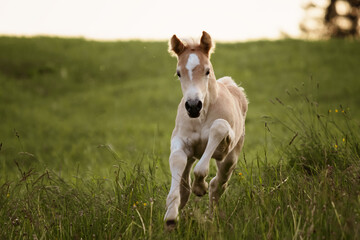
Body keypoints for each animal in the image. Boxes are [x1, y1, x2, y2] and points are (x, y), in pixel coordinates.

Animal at [165, 31, 248, 227]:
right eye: (178, 73)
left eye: (207, 71)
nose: (193, 105)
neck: (201, 117)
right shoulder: (180, 140)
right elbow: (177, 159)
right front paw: (170, 214)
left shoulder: (222, 148)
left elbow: (218, 127)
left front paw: (199, 187)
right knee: (185, 186)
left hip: (230, 159)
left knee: (218, 185)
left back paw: (212, 218)